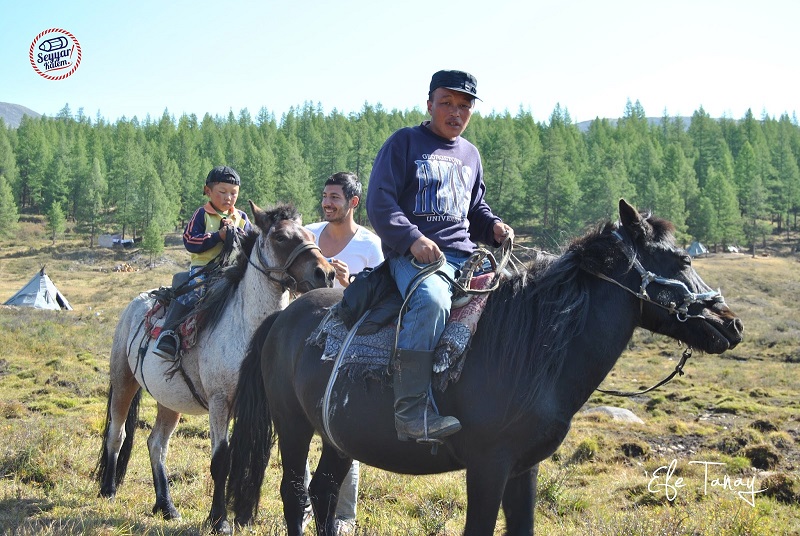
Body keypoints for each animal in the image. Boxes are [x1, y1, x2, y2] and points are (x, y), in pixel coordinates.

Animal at [96, 201, 334, 532]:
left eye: (311, 234)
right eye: (281, 237)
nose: (326, 273)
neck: (245, 328)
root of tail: (137, 303)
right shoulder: (221, 402)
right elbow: (221, 460)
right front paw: (219, 520)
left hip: (169, 401)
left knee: (157, 444)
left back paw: (166, 505)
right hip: (123, 382)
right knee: (116, 435)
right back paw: (108, 489)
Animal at [223, 198, 744, 536]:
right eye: (681, 259)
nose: (731, 324)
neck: (532, 349)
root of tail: (281, 318)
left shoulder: (523, 468)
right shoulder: (488, 466)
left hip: (338, 437)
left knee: (325, 492)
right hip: (293, 426)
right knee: (296, 495)